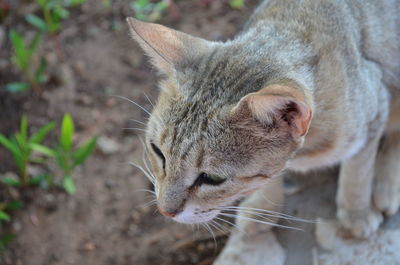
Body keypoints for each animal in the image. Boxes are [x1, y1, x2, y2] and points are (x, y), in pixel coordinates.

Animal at [127, 0, 400, 262]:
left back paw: (386, 184)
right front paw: (263, 207)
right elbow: (269, 177)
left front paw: (356, 211)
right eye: (157, 152)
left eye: (212, 178)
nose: (165, 210)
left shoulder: (375, 108)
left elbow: (357, 171)